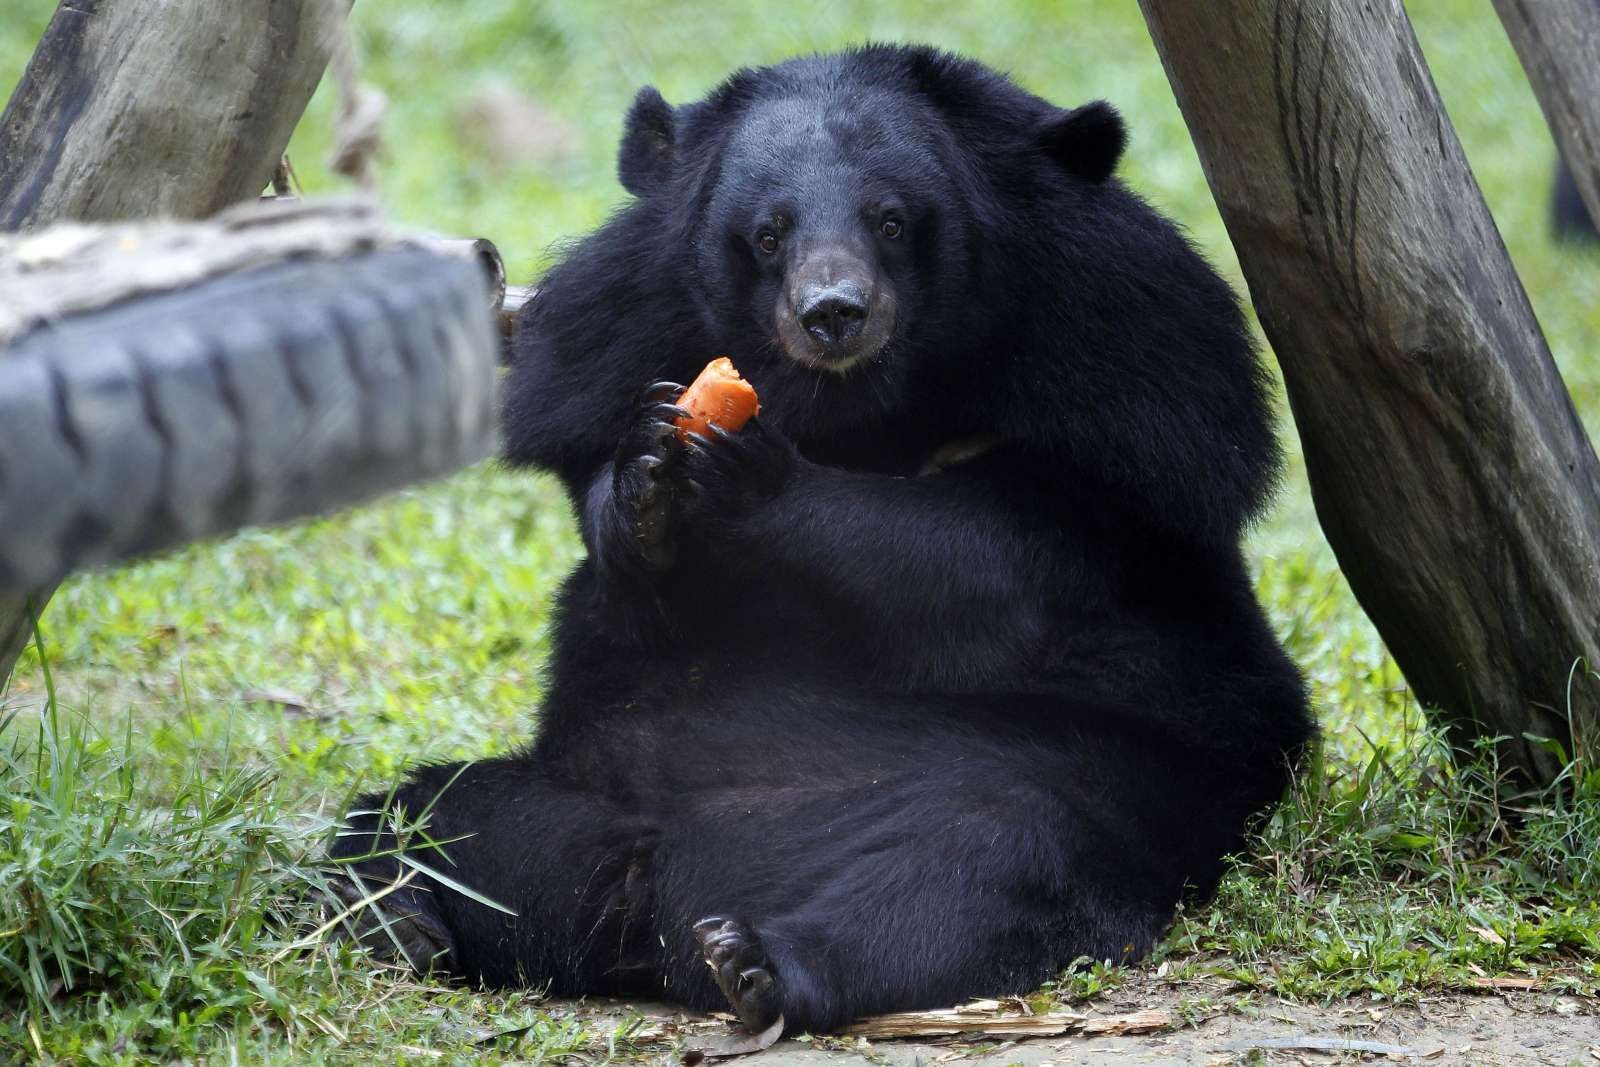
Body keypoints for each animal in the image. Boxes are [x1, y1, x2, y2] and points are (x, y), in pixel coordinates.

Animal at [328, 44, 1313, 1036]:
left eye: (891, 220)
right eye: (769, 232)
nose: (832, 312)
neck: (855, 405)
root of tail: (654, 903)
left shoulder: (1131, 401)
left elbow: (983, 559)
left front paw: (748, 469)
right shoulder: (605, 345)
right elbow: (627, 568)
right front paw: (648, 472)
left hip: (1091, 783)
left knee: (975, 868)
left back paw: (755, 960)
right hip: (571, 794)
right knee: (418, 815)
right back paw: (399, 916)